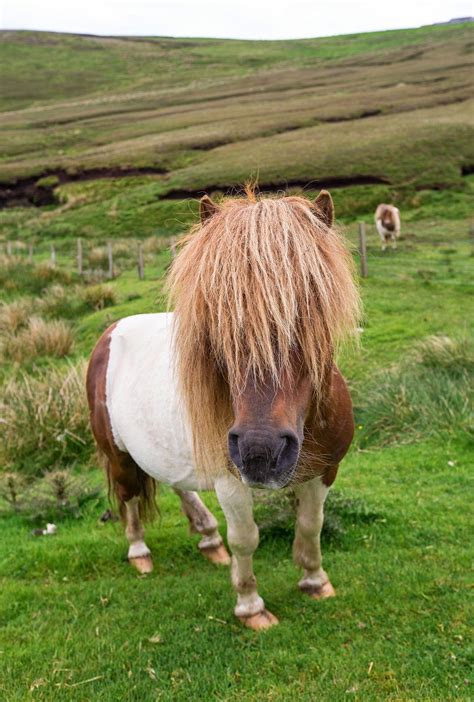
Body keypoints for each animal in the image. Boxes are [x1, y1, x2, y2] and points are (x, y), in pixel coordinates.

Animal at [86, 191, 360, 632]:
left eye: (311, 308)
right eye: (218, 318)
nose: (260, 451)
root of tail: (111, 331)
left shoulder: (324, 471)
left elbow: (311, 524)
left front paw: (315, 580)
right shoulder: (231, 481)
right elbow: (246, 539)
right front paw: (251, 606)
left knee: (174, 482)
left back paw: (207, 537)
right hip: (119, 454)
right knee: (129, 496)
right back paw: (140, 553)